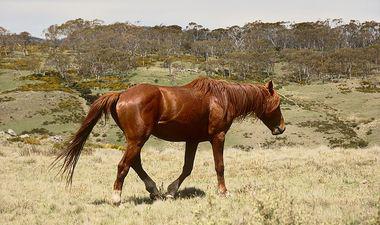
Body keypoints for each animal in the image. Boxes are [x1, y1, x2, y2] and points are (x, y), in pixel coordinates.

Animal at [52, 77, 284, 206]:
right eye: (278, 102)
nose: (281, 128)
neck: (222, 98)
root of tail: (122, 94)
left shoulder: (192, 140)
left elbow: (187, 168)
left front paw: (172, 191)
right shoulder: (218, 137)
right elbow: (220, 166)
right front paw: (223, 192)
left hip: (136, 139)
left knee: (134, 163)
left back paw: (154, 190)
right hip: (138, 139)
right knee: (124, 165)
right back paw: (117, 197)